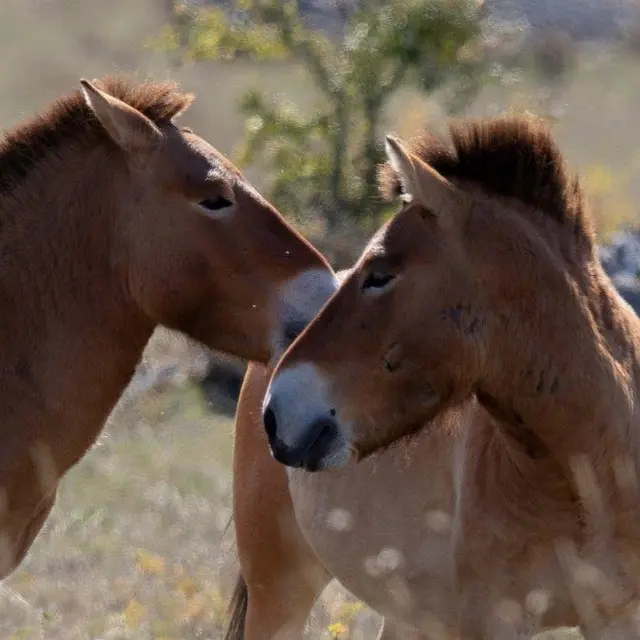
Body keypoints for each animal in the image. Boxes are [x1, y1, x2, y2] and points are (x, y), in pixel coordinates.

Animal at [229, 116, 640, 638]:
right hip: (279, 591)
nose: (278, 412)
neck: (586, 484)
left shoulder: (618, 617)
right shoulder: (494, 621)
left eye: (380, 274)